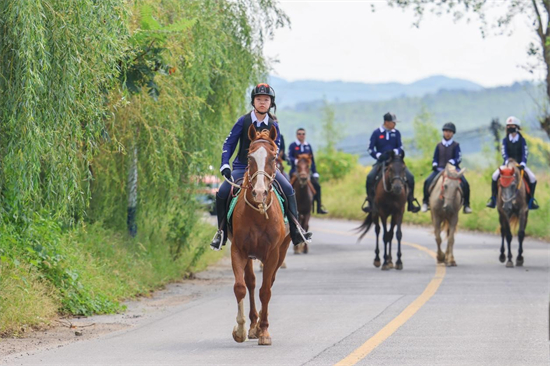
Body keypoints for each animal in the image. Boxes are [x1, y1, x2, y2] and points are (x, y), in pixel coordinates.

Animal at [227, 125, 292, 346]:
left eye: (273, 157)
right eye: (249, 157)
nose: (260, 193)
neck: (257, 212)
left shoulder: (272, 254)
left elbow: (266, 291)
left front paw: (264, 332)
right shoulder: (238, 250)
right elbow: (240, 287)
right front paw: (240, 330)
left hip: (281, 251)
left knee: (268, 284)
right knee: (251, 282)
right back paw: (253, 325)